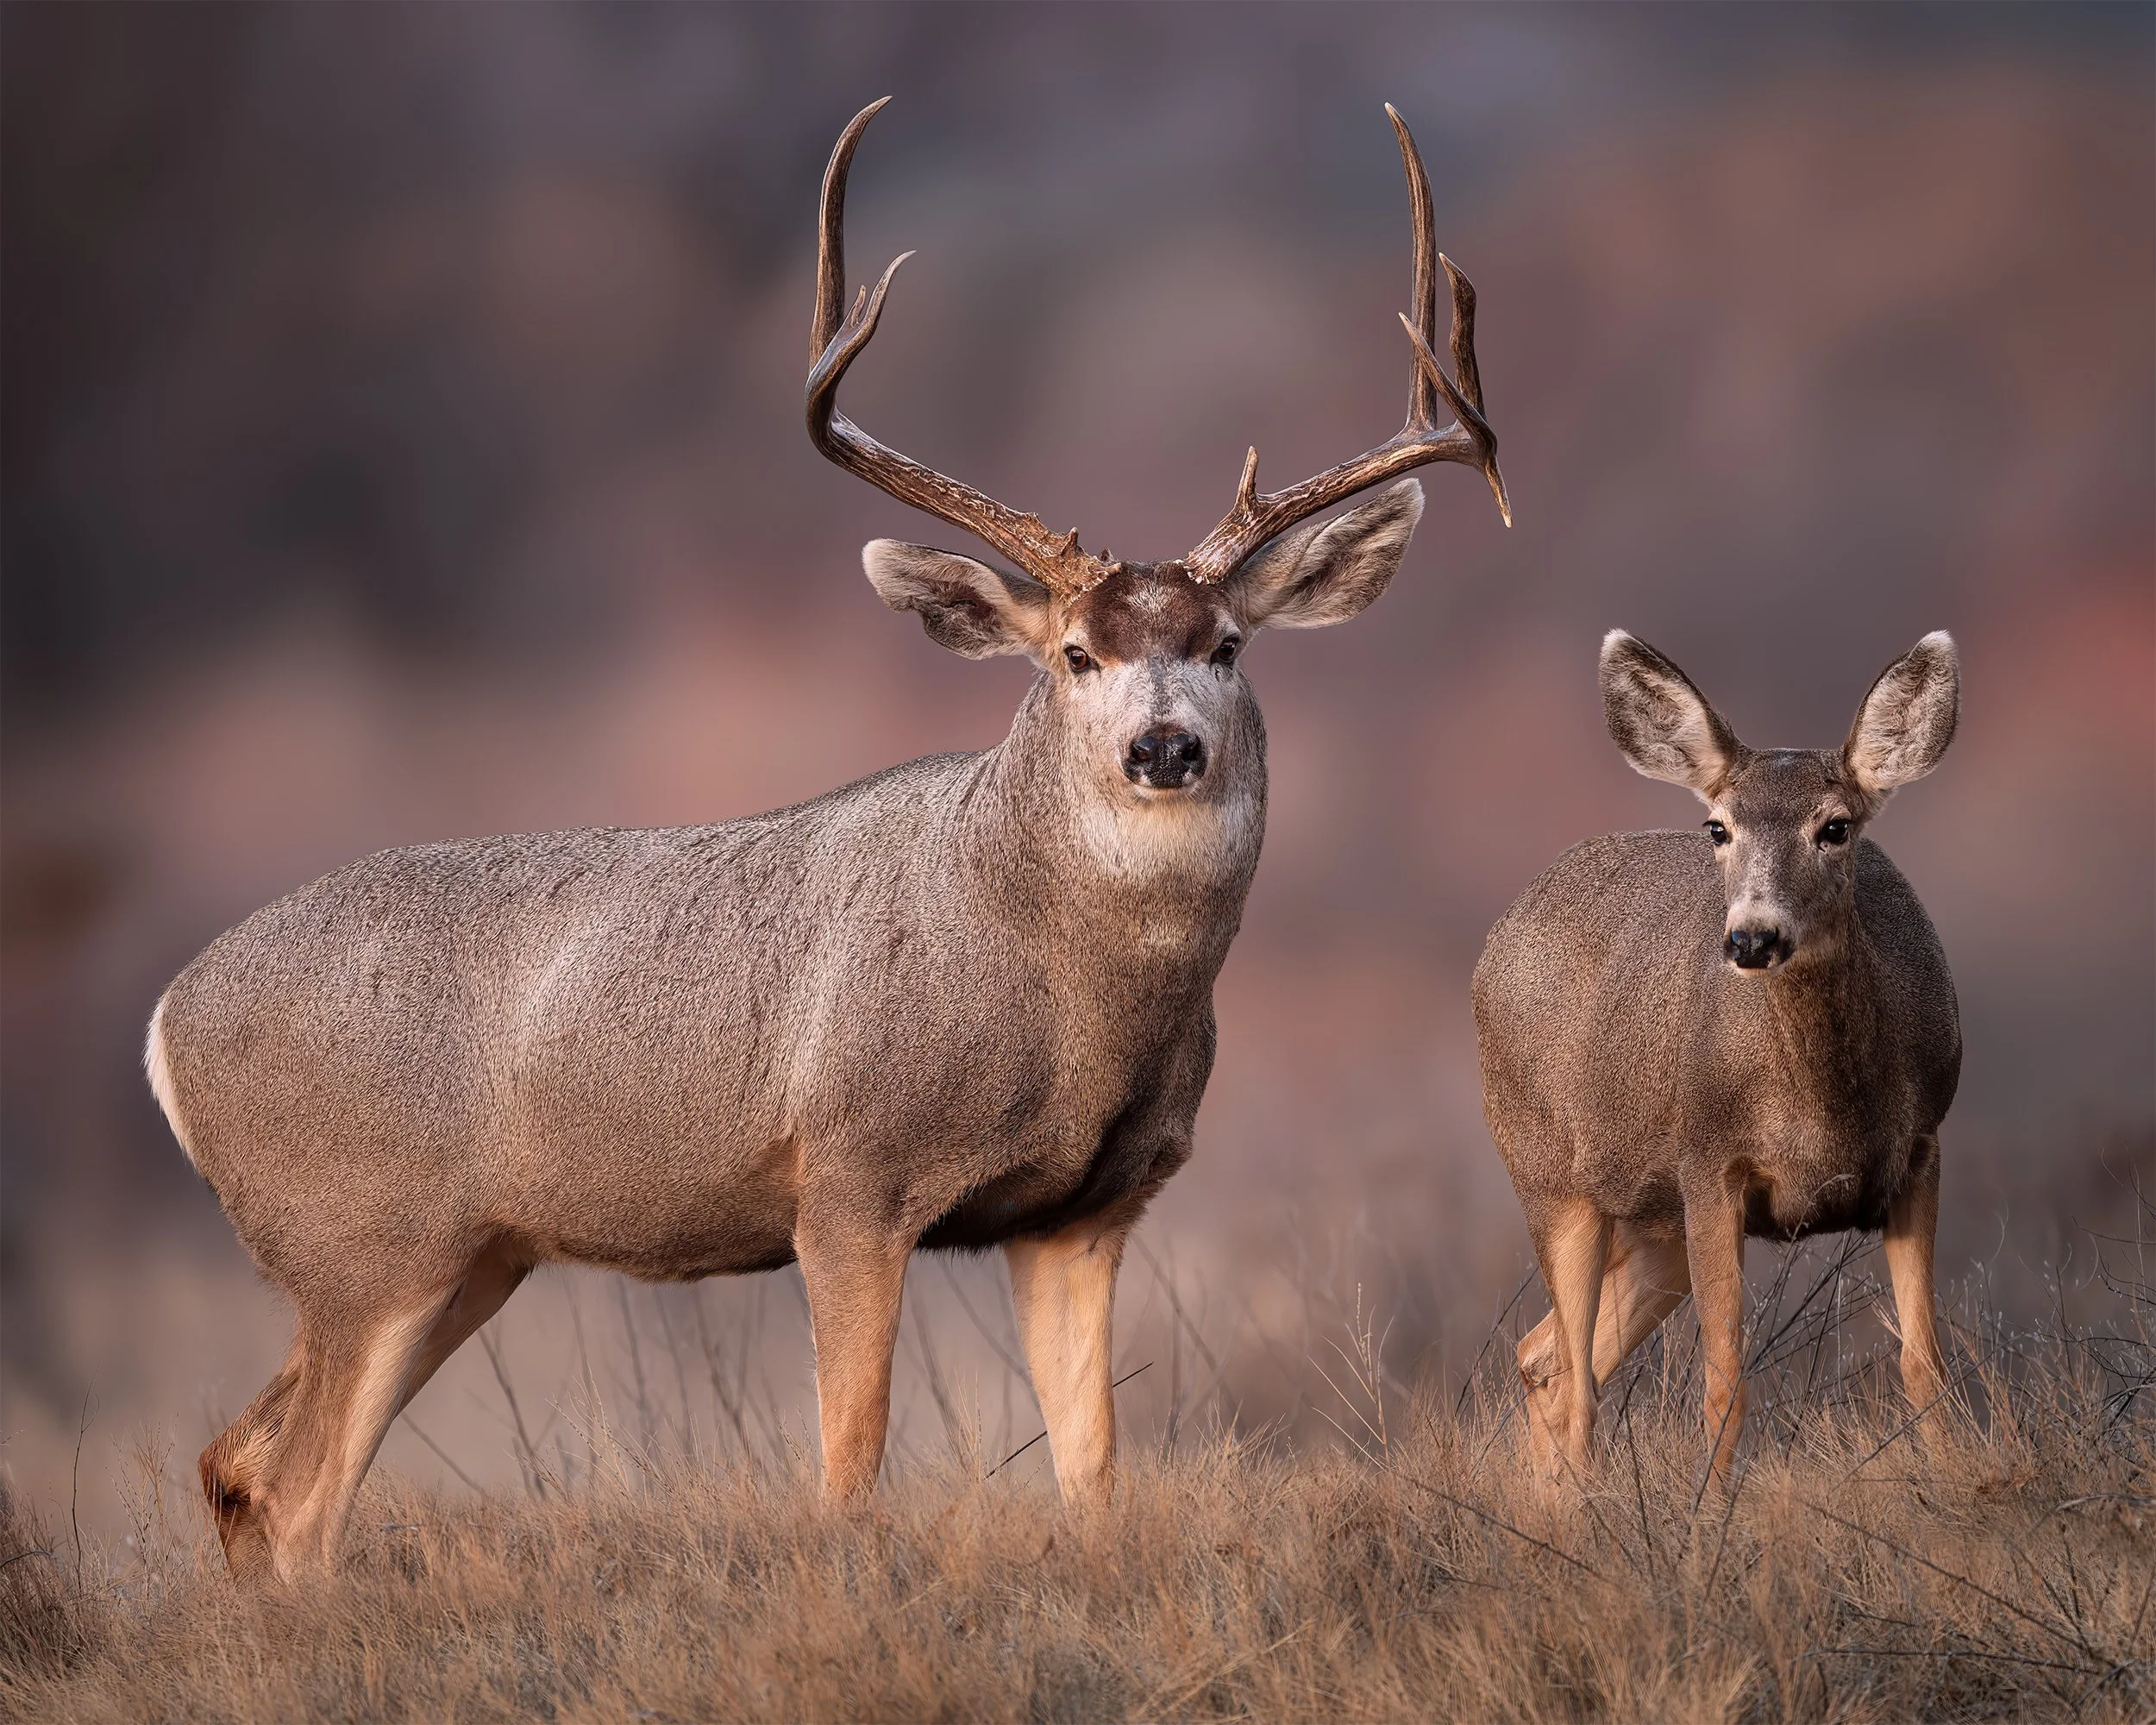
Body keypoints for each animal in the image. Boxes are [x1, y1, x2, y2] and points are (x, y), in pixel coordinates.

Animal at [146, 98, 1509, 1581]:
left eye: (1226, 646)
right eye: (1077, 654)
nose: (1164, 747)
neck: (1061, 991)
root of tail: (166, 1023)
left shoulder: (1085, 1210)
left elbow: (1092, 1471)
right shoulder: (851, 1175)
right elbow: (849, 1462)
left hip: (461, 1256)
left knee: (234, 1463)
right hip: (367, 1241)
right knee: (296, 1495)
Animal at [1473, 629, 1962, 1489]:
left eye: (1836, 827)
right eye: (1718, 828)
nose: (1752, 937)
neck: (1826, 1116)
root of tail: (1494, 943)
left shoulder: (1922, 1147)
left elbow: (1922, 1364)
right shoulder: (1708, 1159)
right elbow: (1726, 1381)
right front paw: (1711, 1511)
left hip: (1652, 1227)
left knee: (1546, 1358)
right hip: (1550, 1178)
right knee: (1574, 1380)